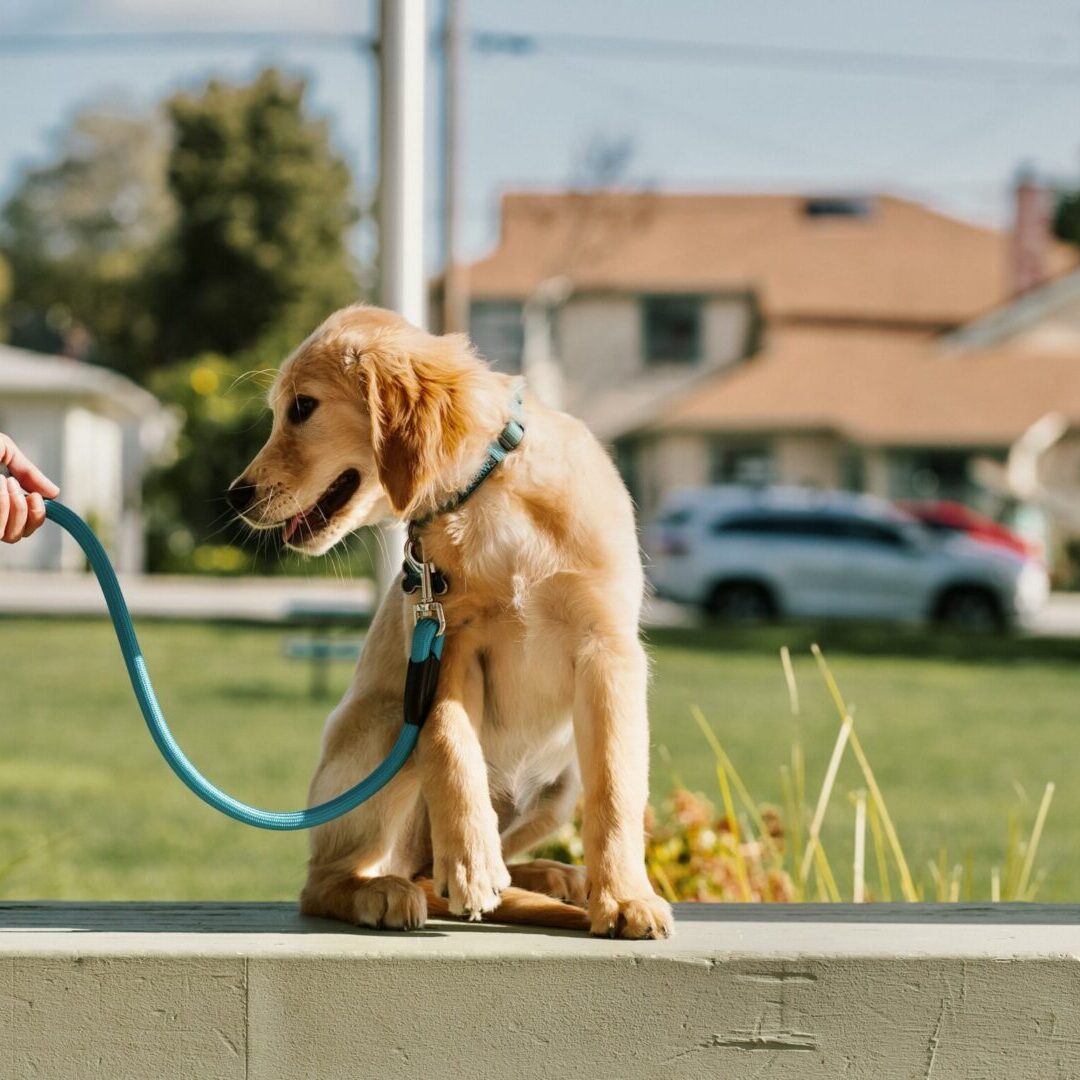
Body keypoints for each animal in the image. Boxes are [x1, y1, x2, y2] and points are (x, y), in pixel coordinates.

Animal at [232, 304, 673, 937]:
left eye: (302, 408)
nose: (235, 496)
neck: (489, 494)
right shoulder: (450, 642)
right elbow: (448, 740)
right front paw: (469, 861)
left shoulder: (607, 648)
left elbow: (615, 787)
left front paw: (624, 897)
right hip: (388, 723)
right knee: (326, 882)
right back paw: (384, 890)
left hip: (559, 787)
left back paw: (549, 876)